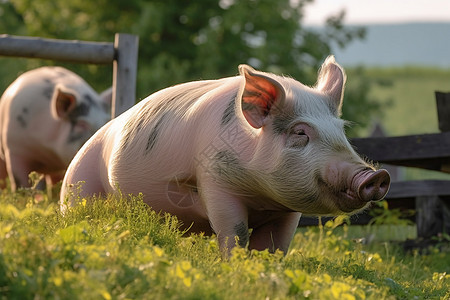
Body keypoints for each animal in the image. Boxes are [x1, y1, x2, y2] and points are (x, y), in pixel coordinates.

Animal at [60, 55, 390, 253]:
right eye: (300, 133)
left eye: (341, 130)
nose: (376, 174)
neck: (261, 196)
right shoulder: (215, 184)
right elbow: (235, 233)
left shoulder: (287, 209)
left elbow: (275, 246)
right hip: (78, 191)